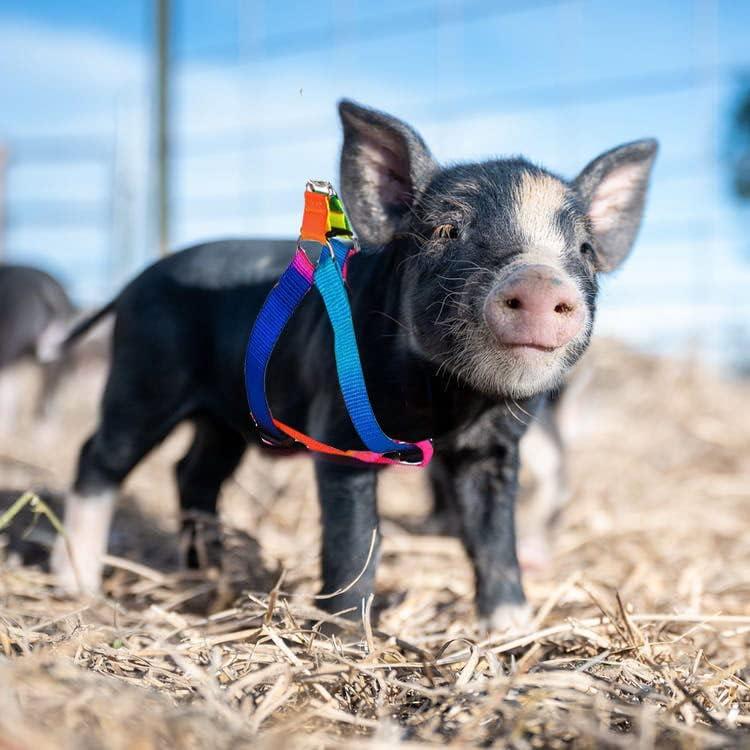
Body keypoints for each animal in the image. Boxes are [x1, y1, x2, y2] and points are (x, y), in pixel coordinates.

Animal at [51, 100, 657, 630]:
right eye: (447, 231)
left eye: (584, 250)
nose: (540, 279)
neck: (447, 402)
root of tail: (137, 279)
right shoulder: (340, 430)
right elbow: (356, 539)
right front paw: (345, 631)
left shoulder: (493, 451)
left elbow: (492, 538)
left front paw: (511, 629)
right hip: (143, 378)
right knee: (97, 457)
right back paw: (77, 583)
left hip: (224, 417)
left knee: (192, 472)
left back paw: (210, 577)